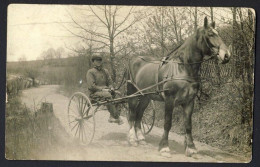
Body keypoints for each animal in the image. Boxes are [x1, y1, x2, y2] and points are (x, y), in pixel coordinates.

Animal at [127, 17, 231, 157]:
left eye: (218, 33)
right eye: (210, 34)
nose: (226, 55)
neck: (183, 68)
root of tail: (134, 59)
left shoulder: (189, 101)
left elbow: (188, 125)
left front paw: (191, 148)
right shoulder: (169, 101)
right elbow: (167, 123)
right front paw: (164, 147)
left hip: (146, 98)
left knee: (139, 115)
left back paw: (141, 139)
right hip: (134, 96)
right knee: (132, 115)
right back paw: (132, 139)